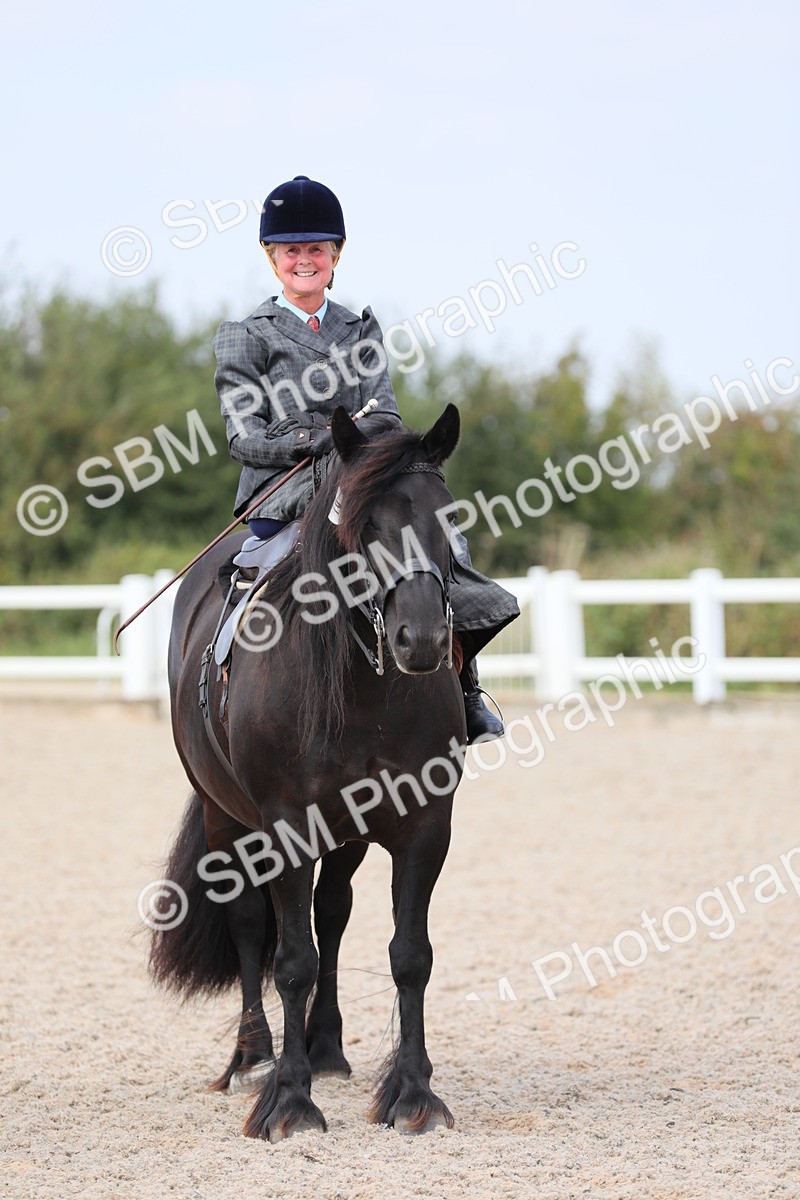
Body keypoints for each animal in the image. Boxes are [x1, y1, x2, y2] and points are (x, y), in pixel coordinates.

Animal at [149, 403, 467, 1141]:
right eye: (364, 523)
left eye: (446, 515)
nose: (420, 639)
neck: (362, 689)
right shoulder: (286, 828)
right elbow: (292, 960)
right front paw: (289, 1101)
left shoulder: (425, 827)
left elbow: (410, 955)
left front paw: (413, 1094)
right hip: (226, 819)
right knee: (247, 921)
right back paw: (253, 1059)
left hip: (345, 835)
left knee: (334, 911)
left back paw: (324, 1047)